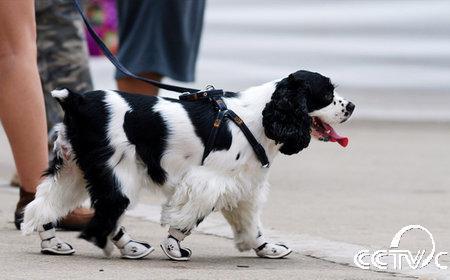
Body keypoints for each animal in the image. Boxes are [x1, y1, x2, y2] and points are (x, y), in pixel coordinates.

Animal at [22, 70, 356, 260]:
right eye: (327, 94)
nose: (352, 106)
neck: (259, 117)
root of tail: (76, 101)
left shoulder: (241, 186)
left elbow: (251, 224)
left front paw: (268, 249)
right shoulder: (208, 181)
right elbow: (185, 221)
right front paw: (174, 249)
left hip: (73, 171)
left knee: (43, 206)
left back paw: (54, 244)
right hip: (117, 175)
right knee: (105, 215)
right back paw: (129, 248)